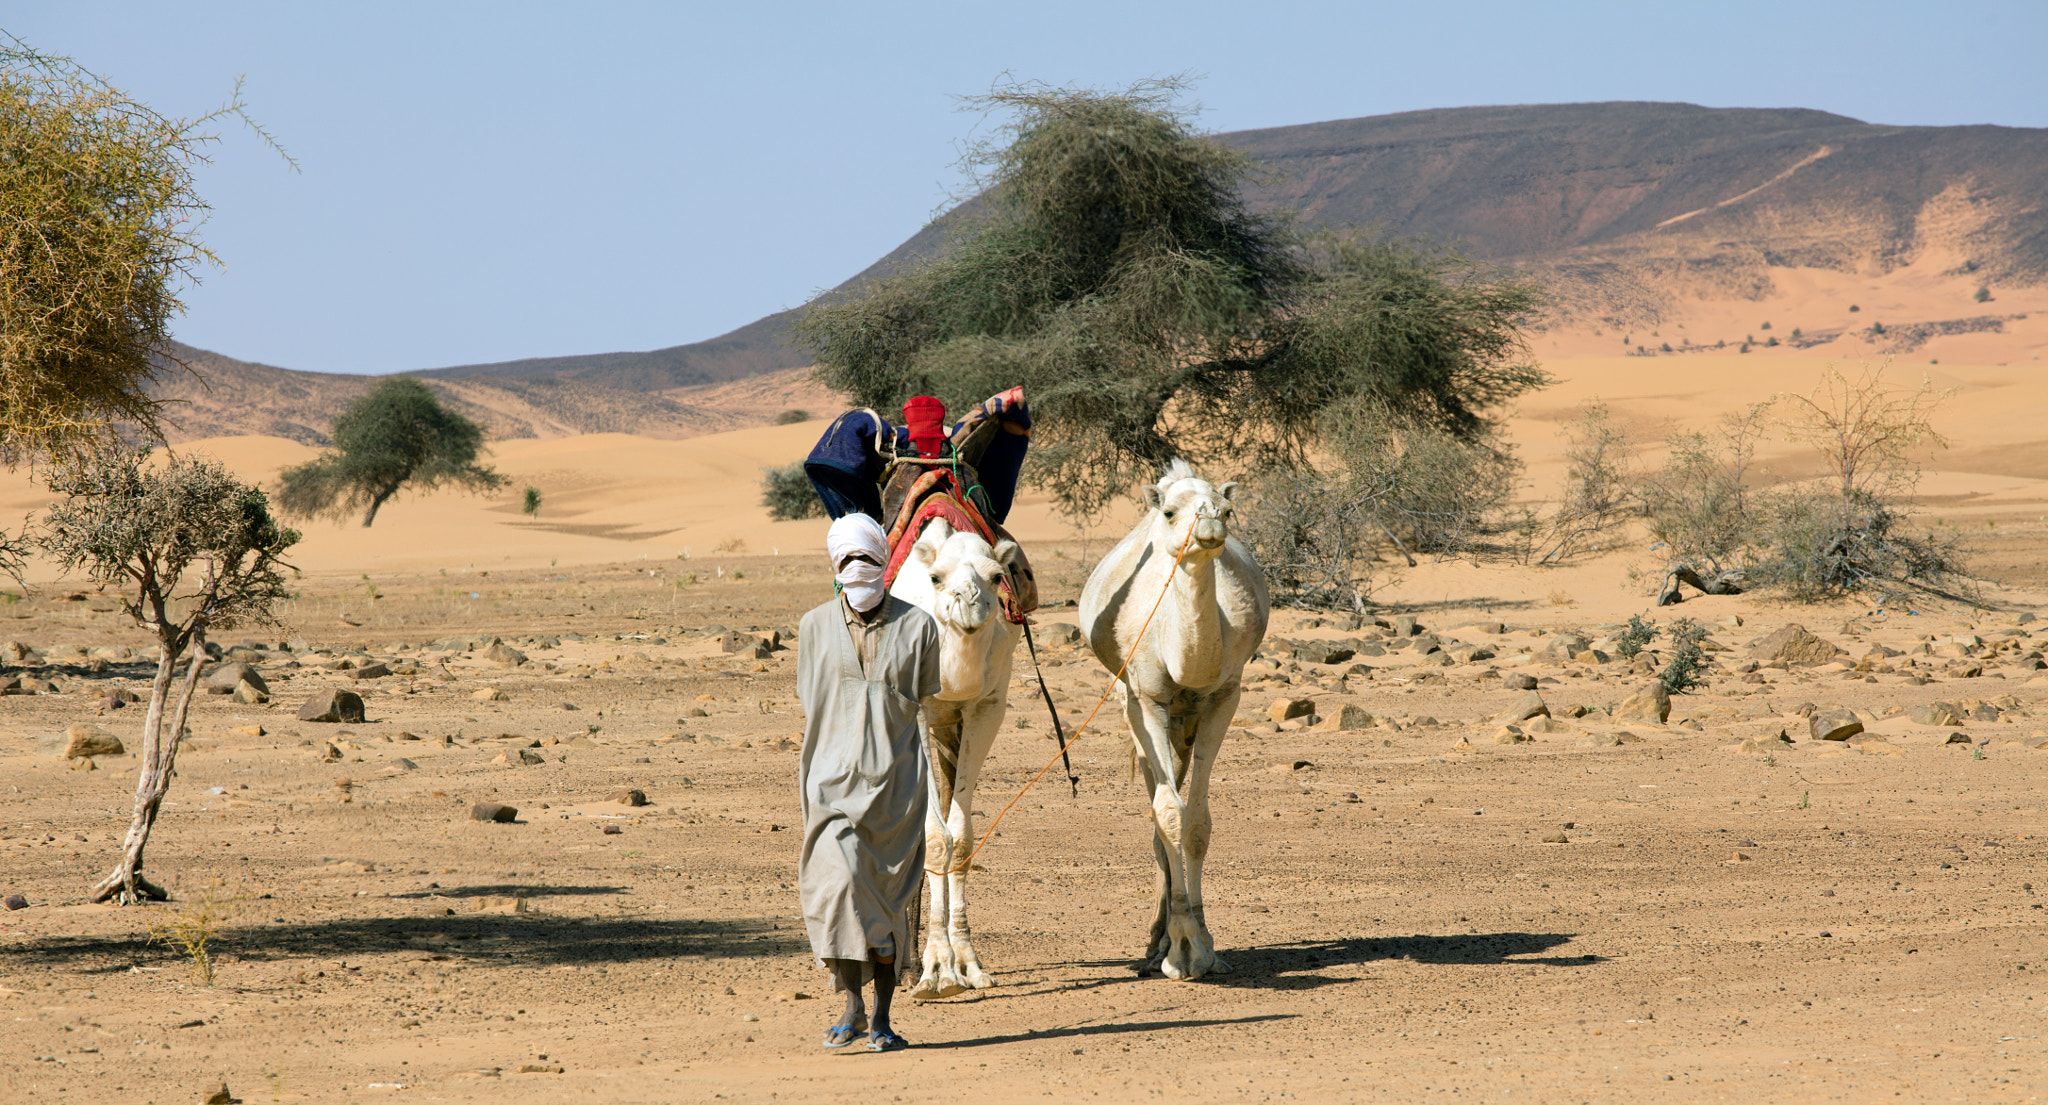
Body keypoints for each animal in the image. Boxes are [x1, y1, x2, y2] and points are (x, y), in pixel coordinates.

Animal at [892, 517, 1032, 1002]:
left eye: (996, 577)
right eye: (936, 578)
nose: (970, 603)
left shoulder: (986, 706)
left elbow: (963, 838)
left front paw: (966, 963)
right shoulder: (913, 705)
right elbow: (935, 837)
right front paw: (935, 970)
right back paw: (904, 966)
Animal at [1081, 462, 1269, 978]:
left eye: (1228, 509)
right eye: (1169, 511)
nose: (1208, 525)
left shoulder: (1224, 696)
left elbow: (1198, 822)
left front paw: (1205, 943)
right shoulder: (1146, 698)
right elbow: (1167, 813)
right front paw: (1181, 949)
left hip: (1184, 722)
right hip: (1134, 706)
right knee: (1155, 804)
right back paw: (1156, 942)